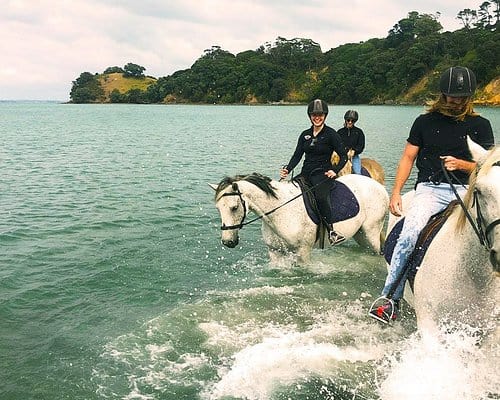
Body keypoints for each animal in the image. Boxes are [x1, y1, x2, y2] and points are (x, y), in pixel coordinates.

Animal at [209, 172, 388, 266]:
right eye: (218, 209)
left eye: (234, 207)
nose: (228, 242)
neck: (280, 210)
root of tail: (380, 187)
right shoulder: (275, 252)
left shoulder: (303, 252)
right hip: (361, 235)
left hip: (371, 233)